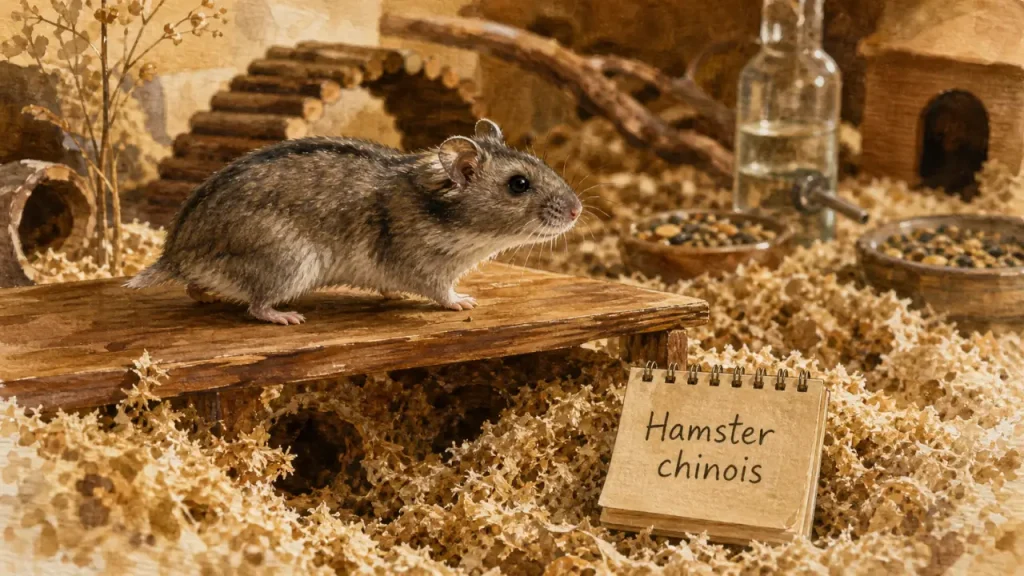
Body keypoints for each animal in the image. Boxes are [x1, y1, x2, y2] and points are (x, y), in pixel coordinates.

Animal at [125, 119, 583, 325]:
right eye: (519, 184)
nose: (578, 209)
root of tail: (175, 254)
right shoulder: (425, 267)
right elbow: (442, 292)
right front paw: (466, 301)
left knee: (196, 286)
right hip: (290, 263)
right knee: (256, 305)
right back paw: (287, 317)